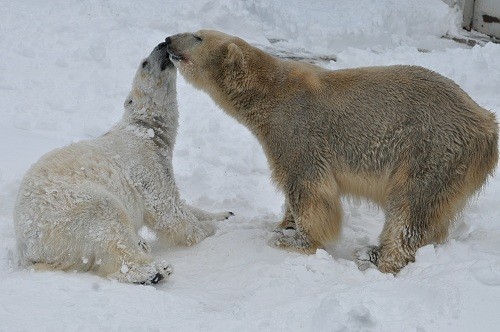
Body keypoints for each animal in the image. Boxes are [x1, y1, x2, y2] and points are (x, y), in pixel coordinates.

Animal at [14, 42, 233, 286]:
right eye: (144, 63)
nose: (162, 44)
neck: (145, 131)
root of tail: (28, 249)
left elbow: (182, 204)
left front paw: (224, 215)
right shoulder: (144, 164)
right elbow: (167, 210)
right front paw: (209, 229)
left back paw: (142, 245)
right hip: (67, 210)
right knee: (109, 223)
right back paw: (155, 270)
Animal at [166, 30, 498, 274]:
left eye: (198, 37)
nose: (168, 40)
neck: (269, 92)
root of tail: (486, 125)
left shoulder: (297, 130)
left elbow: (308, 187)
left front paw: (296, 241)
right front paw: (283, 225)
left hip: (431, 149)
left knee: (409, 207)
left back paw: (379, 258)